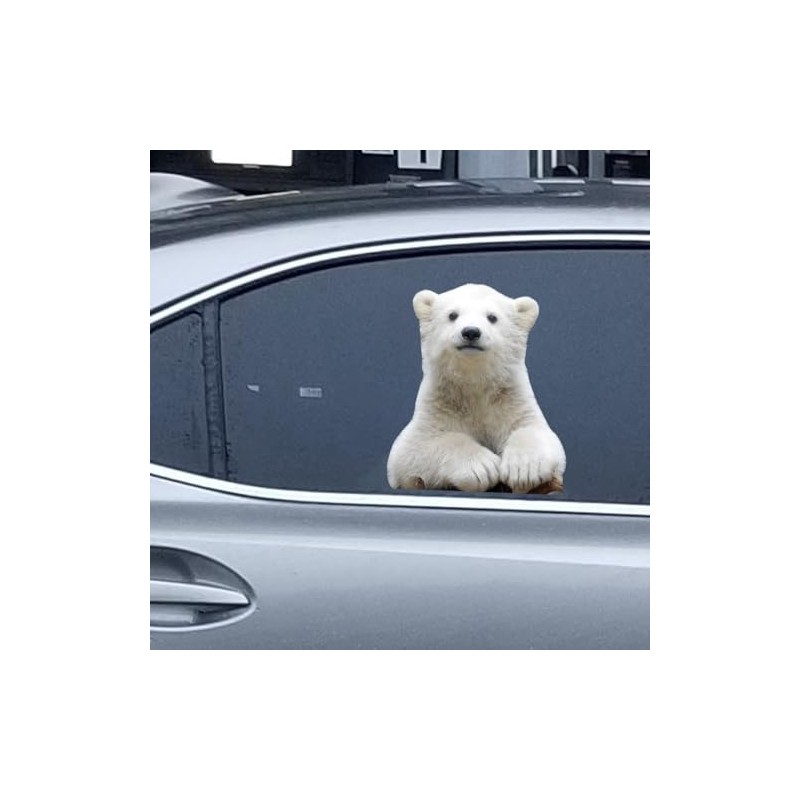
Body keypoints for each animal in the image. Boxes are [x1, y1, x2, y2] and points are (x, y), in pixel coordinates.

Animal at [387, 283, 566, 494]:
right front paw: (483, 468)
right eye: (452, 315)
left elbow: (535, 430)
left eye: (492, 317)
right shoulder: (440, 406)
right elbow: (411, 449)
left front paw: (524, 469)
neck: (474, 384)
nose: (471, 332)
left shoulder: (509, 399)